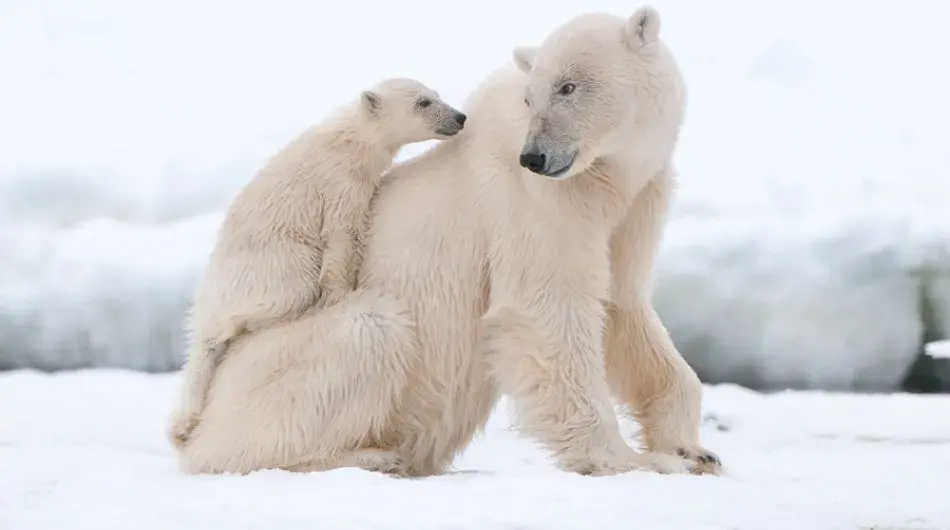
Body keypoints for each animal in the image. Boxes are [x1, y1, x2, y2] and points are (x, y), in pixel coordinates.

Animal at [166, 78, 467, 450]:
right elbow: (342, 234)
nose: (460, 117)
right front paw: (339, 294)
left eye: (436, 95)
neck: (351, 139)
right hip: (272, 264)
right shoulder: (340, 183)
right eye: (423, 102)